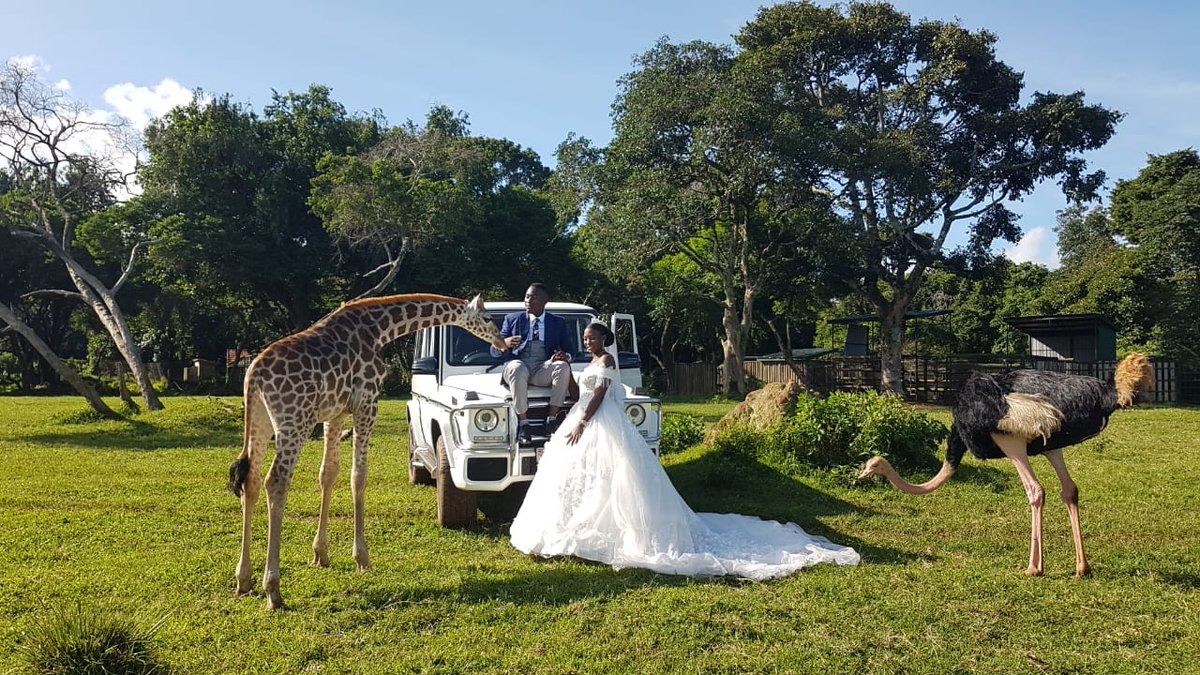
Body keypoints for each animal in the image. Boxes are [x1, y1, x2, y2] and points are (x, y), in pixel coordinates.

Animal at [226, 291, 504, 607]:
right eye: (487, 318)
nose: (503, 342)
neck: (380, 330)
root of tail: (254, 374)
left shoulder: (335, 414)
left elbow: (328, 474)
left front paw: (321, 554)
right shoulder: (367, 402)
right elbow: (358, 476)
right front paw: (362, 558)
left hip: (260, 421)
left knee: (251, 481)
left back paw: (243, 579)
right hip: (293, 420)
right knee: (276, 482)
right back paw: (273, 589)